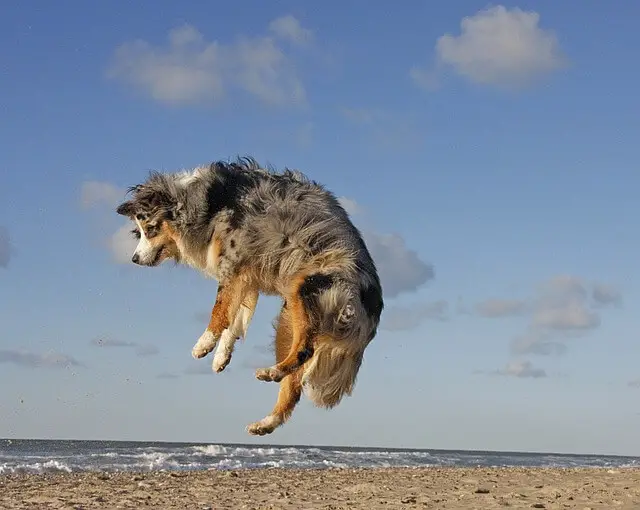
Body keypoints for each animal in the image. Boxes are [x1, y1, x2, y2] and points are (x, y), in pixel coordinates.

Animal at [115, 158, 382, 434]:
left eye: (150, 229)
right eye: (139, 231)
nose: (134, 259)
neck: (206, 202)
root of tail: (368, 309)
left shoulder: (232, 264)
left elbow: (220, 308)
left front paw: (203, 345)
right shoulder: (247, 277)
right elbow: (236, 319)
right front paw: (220, 357)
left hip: (308, 287)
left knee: (305, 350)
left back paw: (272, 373)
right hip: (288, 321)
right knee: (294, 385)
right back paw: (265, 422)